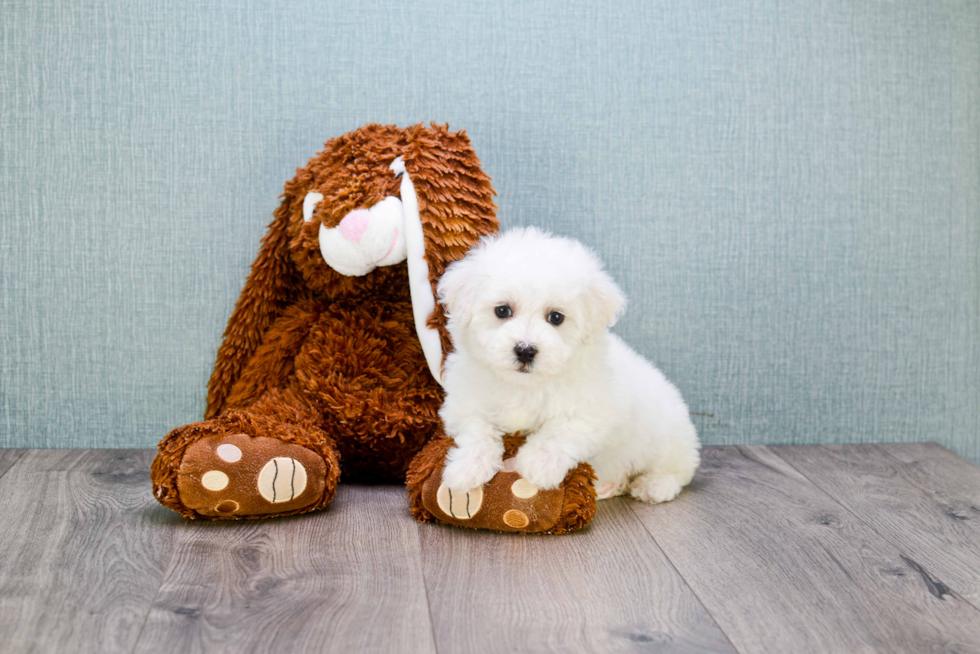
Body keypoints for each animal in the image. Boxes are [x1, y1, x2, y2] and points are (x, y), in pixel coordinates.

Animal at [440, 228, 700, 504]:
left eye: (556, 317)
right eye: (502, 311)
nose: (525, 350)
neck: (525, 385)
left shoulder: (592, 409)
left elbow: (558, 431)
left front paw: (538, 464)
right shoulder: (466, 402)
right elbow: (478, 429)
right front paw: (467, 468)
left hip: (666, 438)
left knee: (676, 472)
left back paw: (653, 485)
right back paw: (609, 486)